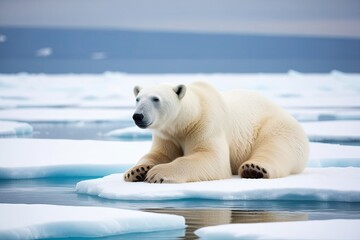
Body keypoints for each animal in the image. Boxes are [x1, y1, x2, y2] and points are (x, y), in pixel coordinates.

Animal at [124, 81, 310, 183]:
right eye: (137, 99)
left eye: (156, 99)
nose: (138, 116)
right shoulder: (167, 135)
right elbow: (158, 153)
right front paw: (136, 171)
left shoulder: (206, 124)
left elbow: (211, 158)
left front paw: (157, 173)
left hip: (276, 126)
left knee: (275, 146)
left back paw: (253, 169)